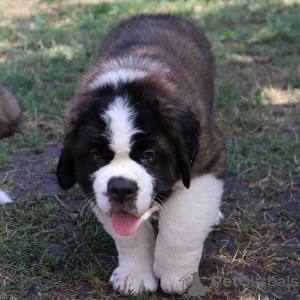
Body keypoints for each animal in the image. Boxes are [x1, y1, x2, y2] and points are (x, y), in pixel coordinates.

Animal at [56, 14, 225, 296]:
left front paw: (176, 273)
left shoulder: (205, 164)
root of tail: (157, 14)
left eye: (148, 155)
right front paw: (134, 274)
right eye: (96, 156)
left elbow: (182, 226)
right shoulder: (96, 193)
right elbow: (130, 236)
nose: (121, 189)